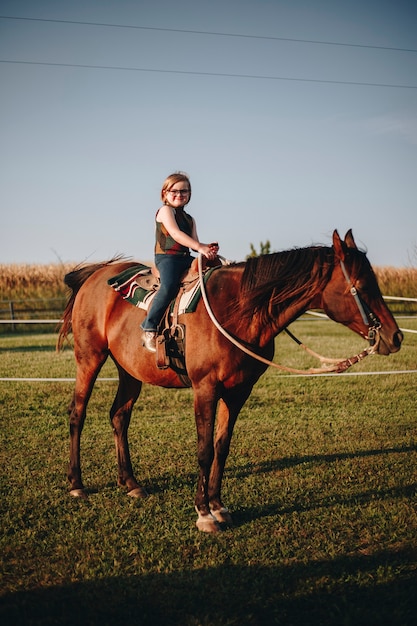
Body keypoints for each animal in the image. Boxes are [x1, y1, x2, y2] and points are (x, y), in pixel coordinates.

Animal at [57, 229, 402, 532]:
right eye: (361, 285)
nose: (395, 336)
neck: (237, 310)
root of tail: (95, 275)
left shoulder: (238, 392)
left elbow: (221, 447)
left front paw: (219, 507)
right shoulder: (205, 389)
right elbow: (204, 450)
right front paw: (203, 515)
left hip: (129, 371)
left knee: (119, 416)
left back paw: (130, 483)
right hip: (89, 358)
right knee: (77, 414)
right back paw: (76, 485)